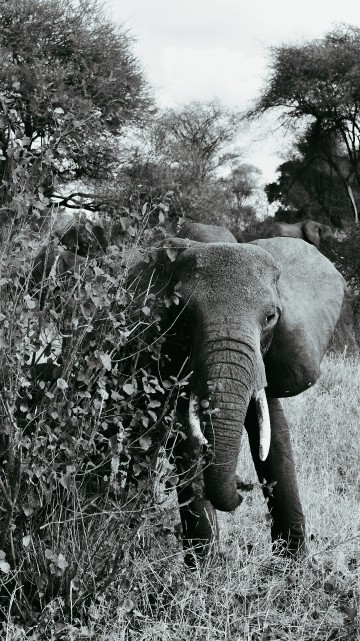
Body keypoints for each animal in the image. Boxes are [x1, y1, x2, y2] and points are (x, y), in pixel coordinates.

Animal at [130, 221, 346, 560]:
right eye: (182, 314)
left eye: (270, 316)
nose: (243, 489)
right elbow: (185, 438)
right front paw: (204, 568)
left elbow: (274, 434)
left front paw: (293, 564)